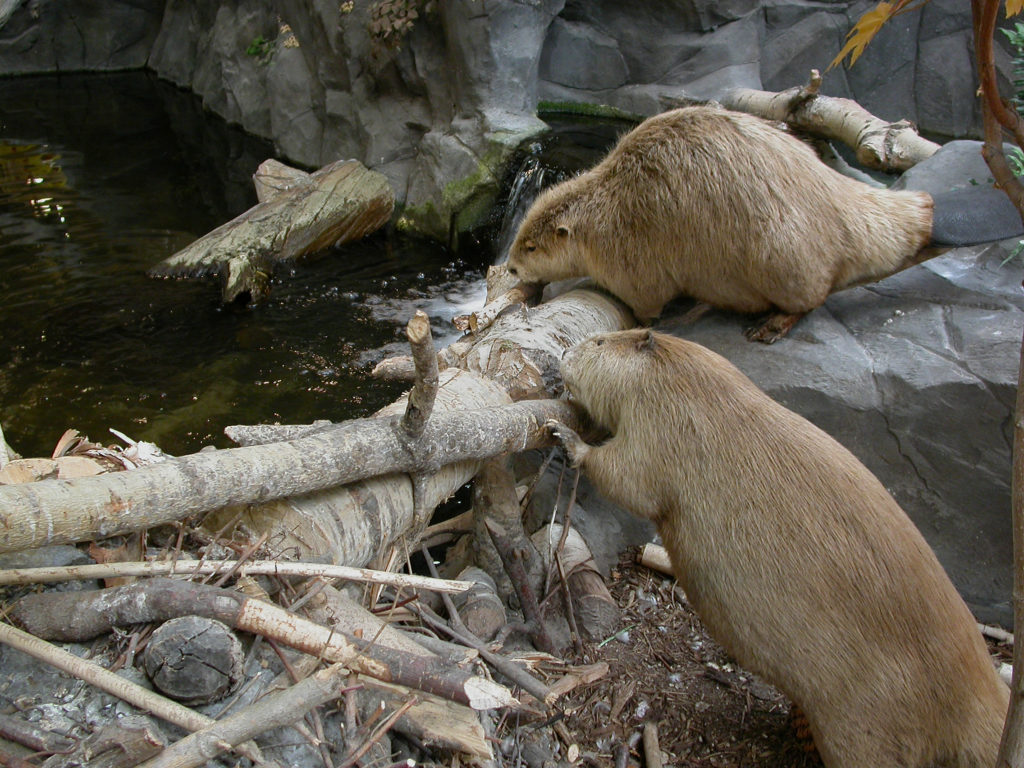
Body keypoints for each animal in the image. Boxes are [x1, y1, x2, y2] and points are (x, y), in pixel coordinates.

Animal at [505, 105, 1024, 342]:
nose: (509, 268)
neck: (602, 206)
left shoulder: (630, 256)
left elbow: (646, 301)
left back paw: (768, 326)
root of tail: (927, 215)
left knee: (814, 296)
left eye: (530, 246)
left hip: (784, 257)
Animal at [548, 325, 1011, 768]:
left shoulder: (663, 425)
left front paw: (565, 436)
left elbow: (628, 478)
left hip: (863, 726)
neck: (684, 378)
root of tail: (983, 710)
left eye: (600, 341)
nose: (563, 355)